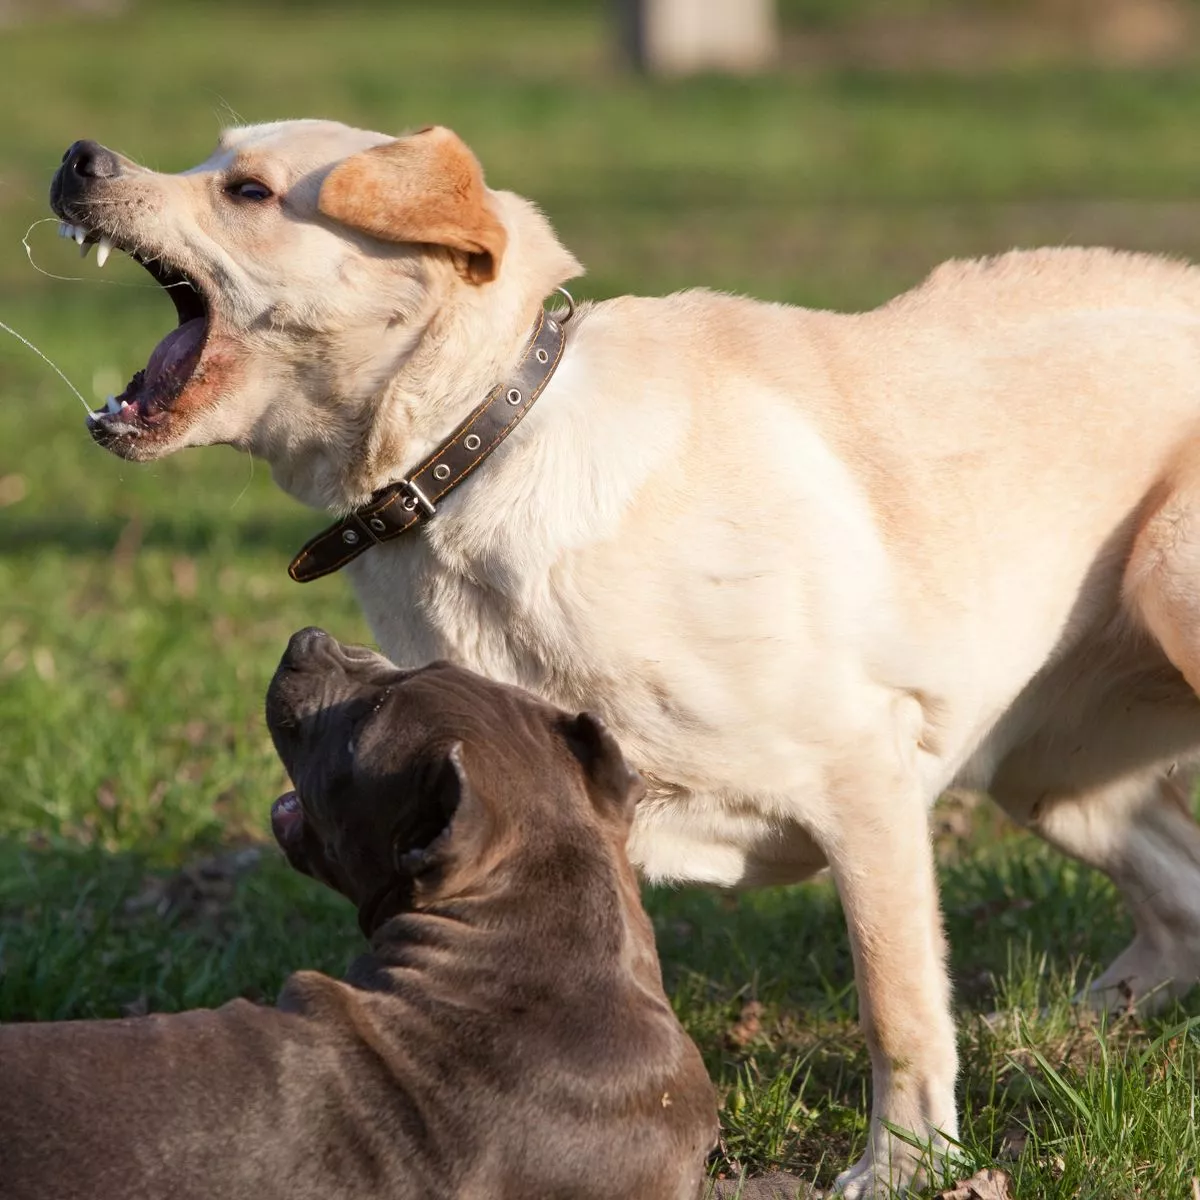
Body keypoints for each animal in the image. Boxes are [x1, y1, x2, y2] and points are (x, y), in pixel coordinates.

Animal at [51, 124, 1200, 1200]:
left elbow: (898, 1005)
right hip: (1042, 770)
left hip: (1162, 588)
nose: (77, 158)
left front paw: (905, 1167)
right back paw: (1065, 1028)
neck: (478, 450)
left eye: (247, 190)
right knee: (1183, 896)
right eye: (210, 156)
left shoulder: (862, 777)